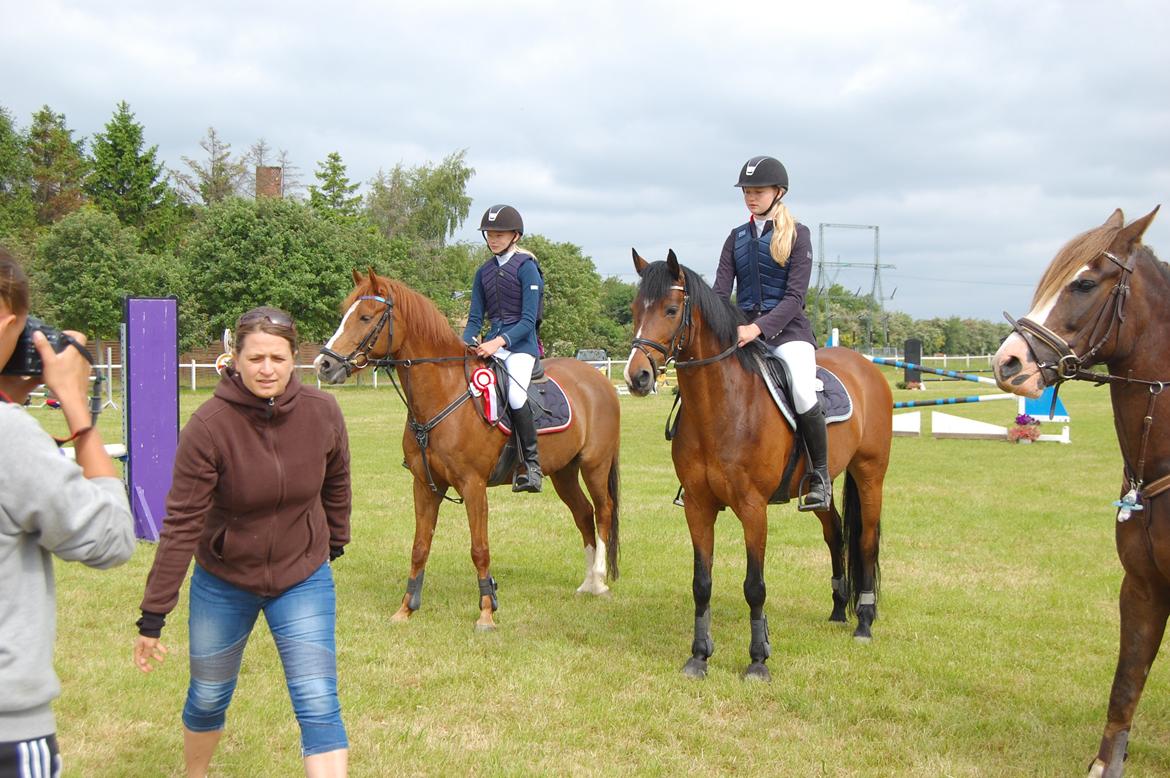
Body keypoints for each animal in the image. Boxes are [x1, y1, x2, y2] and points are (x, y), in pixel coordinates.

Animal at [311, 270, 622, 627]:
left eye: (364, 317)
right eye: (343, 313)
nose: (323, 365)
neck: (444, 394)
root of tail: (599, 380)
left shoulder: (474, 486)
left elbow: (479, 548)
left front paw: (486, 612)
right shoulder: (425, 486)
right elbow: (419, 547)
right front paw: (405, 609)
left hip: (594, 465)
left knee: (603, 511)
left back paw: (600, 581)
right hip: (563, 472)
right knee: (583, 514)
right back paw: (588, 583)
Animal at [627, 251, 889, 678]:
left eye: (670, 309)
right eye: (635, 309)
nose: (637, 376)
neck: (722, 406)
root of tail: (864, 365)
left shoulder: (753, 509)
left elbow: (754, 586)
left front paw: (758, 660)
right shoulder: (698, 506)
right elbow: (702, 582)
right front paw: (699, 656)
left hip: (870, 474)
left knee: (865, 540)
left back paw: (864, 621)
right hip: (820, 486)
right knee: (835, 533)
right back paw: (838, 609)